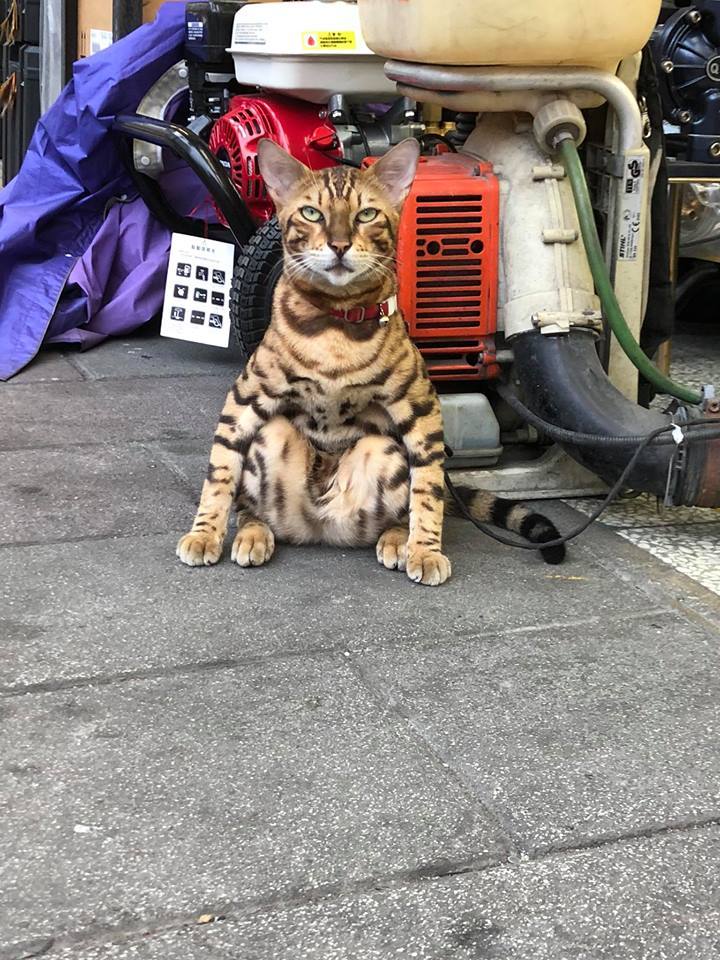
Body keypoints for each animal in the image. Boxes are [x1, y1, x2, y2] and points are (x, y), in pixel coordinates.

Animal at [177, 137, 564, 584]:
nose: (339, 245)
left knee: (405, 504)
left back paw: (398, 539)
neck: (337, 326)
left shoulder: (420, 404)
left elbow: (428, 487)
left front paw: (426, 550)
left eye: (366, 214)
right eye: (311, 213)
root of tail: (318, 526)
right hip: (270, 436)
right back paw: (255, 531)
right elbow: (220, 472)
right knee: (248, 505)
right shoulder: (245, 396)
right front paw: (204, 534)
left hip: (386, 450)